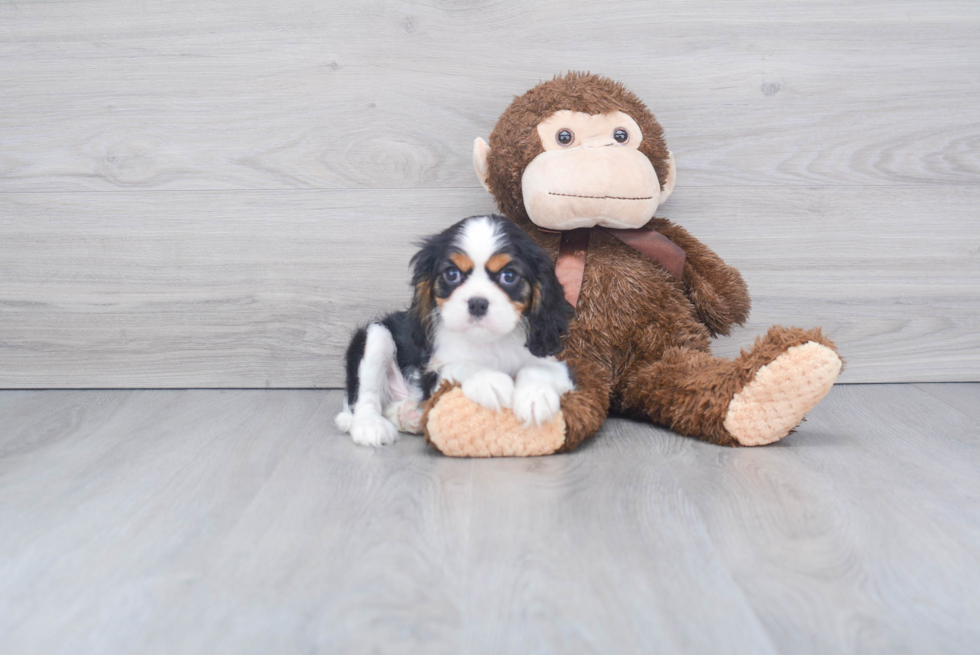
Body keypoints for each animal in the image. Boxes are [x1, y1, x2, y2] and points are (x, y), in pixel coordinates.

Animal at [336, 215, 576, 446]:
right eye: (452, 274)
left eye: (509, 276)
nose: (477, 303)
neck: (488, 342)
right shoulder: (433, 373)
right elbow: (463, 365)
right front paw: (490, 380)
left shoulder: (557, 364)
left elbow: (538, 369)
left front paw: (535, 396)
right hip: (376, 335)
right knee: (364, 396)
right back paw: (370, 425)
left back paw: (410, 415)